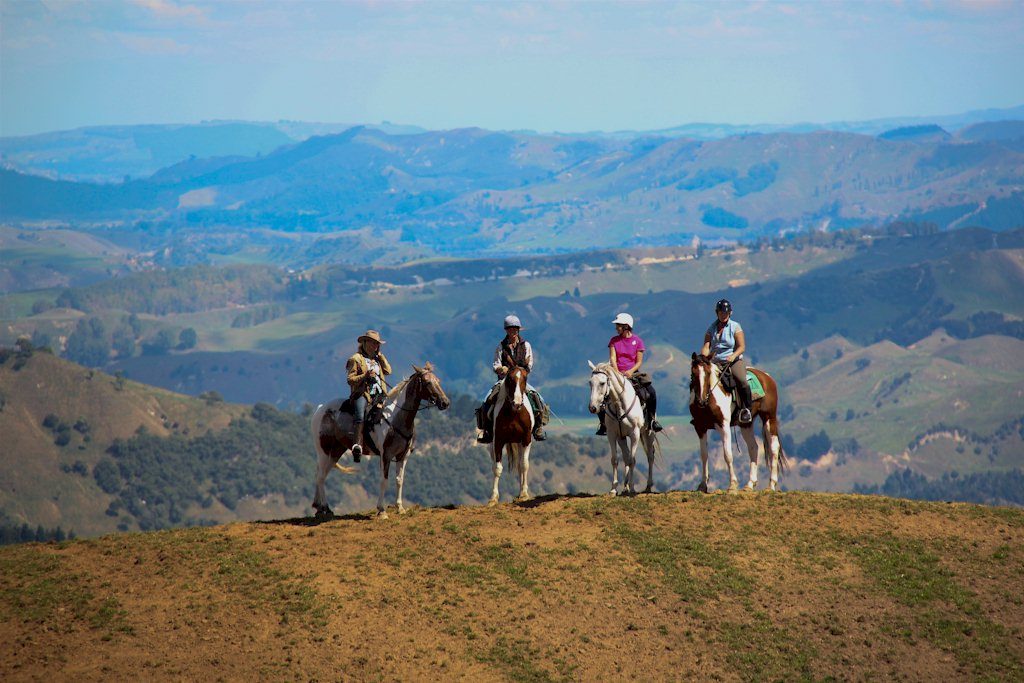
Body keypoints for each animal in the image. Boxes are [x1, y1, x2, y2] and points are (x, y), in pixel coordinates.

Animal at [311, 362, 448, 518]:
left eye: (438, 381)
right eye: (427, 382)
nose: (445, 402)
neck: (394, 417)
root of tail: (320, 409)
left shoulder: (403, 455)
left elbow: (399, 480)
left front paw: (400, 507)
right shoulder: (385, 455)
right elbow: (384, 480)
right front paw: (381, 510)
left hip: (335, 452)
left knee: (321, 474)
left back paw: (319, 507)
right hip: (323, 451)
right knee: (321, 476)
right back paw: (325, 508)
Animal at [589, 362, 659, 497]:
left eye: (602, 383)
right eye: (590, 383)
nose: (593, 407)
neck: (619, 405)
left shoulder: (635, 434)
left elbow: (632, 460)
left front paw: (632, 488)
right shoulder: (612, 434)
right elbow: (615, 460)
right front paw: (613, 489)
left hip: (648, 433)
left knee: (650, 456)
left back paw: (648, 486)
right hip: (621, 438)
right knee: (626, 457)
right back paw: (625, 487)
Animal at [692, 356, 786, 493]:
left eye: (708, 373)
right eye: (693, 374)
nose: (701, 400)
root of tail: (767, 376)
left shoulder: (723, 425)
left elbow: (727, 454)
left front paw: (732, 485)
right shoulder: (700, 428)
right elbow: (704, 455)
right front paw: (702, 485)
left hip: (769, 417)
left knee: (774, 447)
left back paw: (771, 485)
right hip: (746, 424)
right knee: (753, 447)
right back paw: (750, 484)